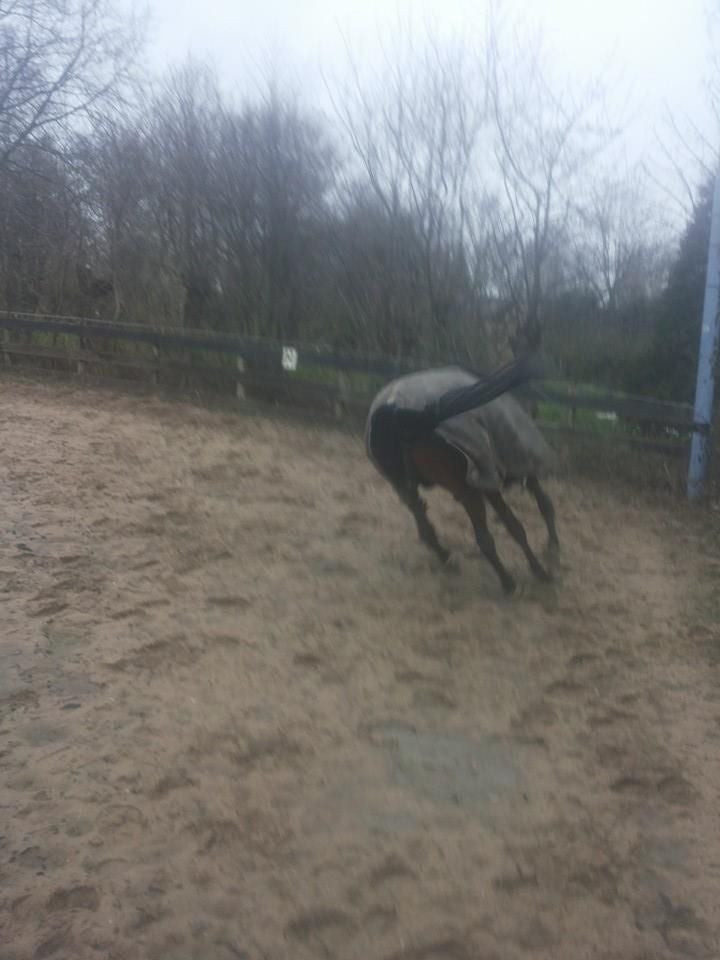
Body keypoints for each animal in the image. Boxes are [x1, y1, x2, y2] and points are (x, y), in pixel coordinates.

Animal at [365, 357, 559, 595]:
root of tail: (396, 409)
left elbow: (526, 516)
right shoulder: (503, 474)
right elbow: (530, 515)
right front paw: (547, 557)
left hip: (404, 487)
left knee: (426, 529)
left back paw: (448, 560)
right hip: (467, 489)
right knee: (485, 539)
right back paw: (510, 582)